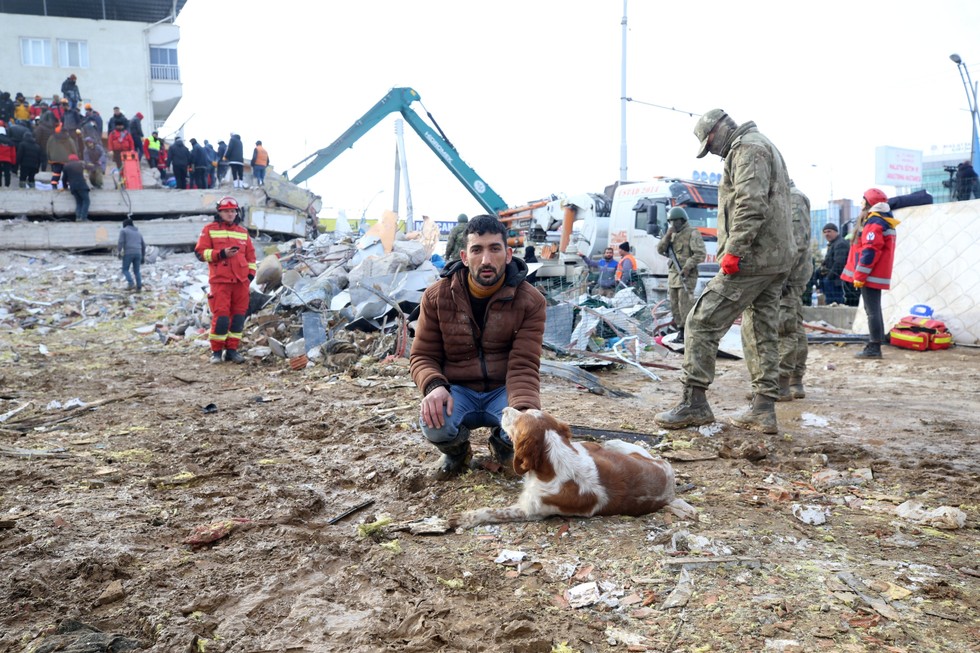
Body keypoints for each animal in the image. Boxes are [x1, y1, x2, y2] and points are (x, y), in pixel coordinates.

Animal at [452, 404, 696, 528]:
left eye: (519, 418)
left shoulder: (530, 511)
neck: (556, 461)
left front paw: (464, 518)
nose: (504, 409)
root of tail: (669, 479)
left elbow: (491, 512)